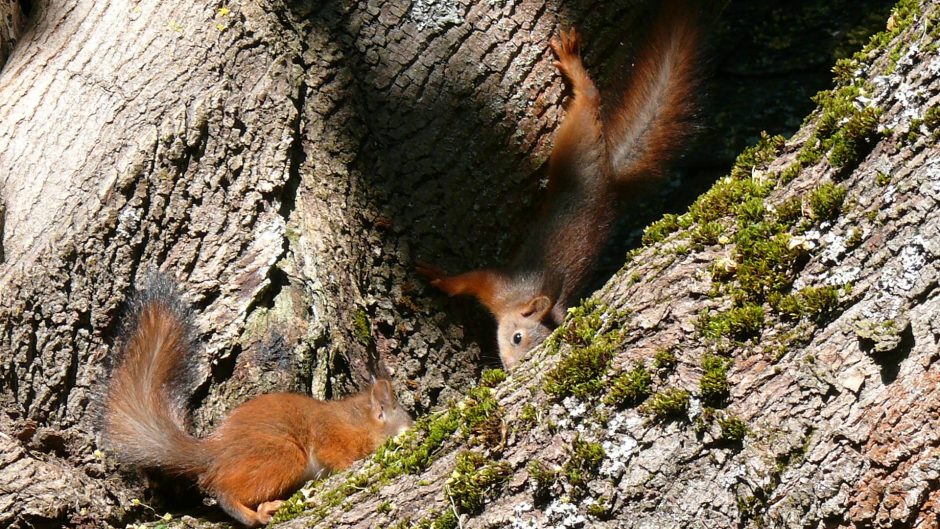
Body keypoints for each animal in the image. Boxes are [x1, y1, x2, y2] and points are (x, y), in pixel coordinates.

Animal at [101, 274, 414, 524]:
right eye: (406, 426)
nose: (414, 429)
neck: (357, 419)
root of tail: (213, 454)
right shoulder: (332, 434)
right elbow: (335, 454)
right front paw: (352, 464)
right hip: (282, 455)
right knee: (225, 492)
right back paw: (257, 514)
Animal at [416, 5, 696, 368]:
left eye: (530, 349)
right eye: (517, 337)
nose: (511, 368)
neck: (517, 302)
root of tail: (608, 179)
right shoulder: (501, 284)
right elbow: (469, 278)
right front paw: (440, 278)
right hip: (575, 144)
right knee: (589, 100)